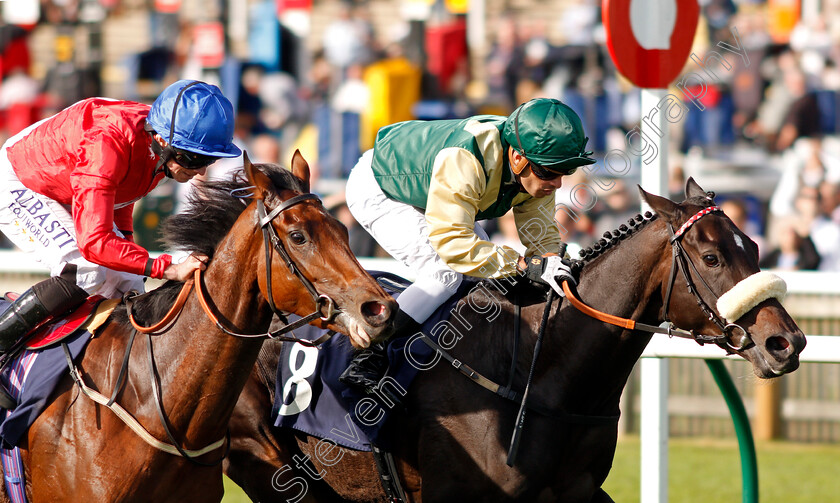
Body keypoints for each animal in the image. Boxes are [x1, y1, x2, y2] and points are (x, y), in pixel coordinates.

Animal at [223, 179, 808, 502]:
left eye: (754, 246)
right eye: (711, 257)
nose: (787, 342)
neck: (536, 370)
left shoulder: (576, 493)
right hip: (263, 460)